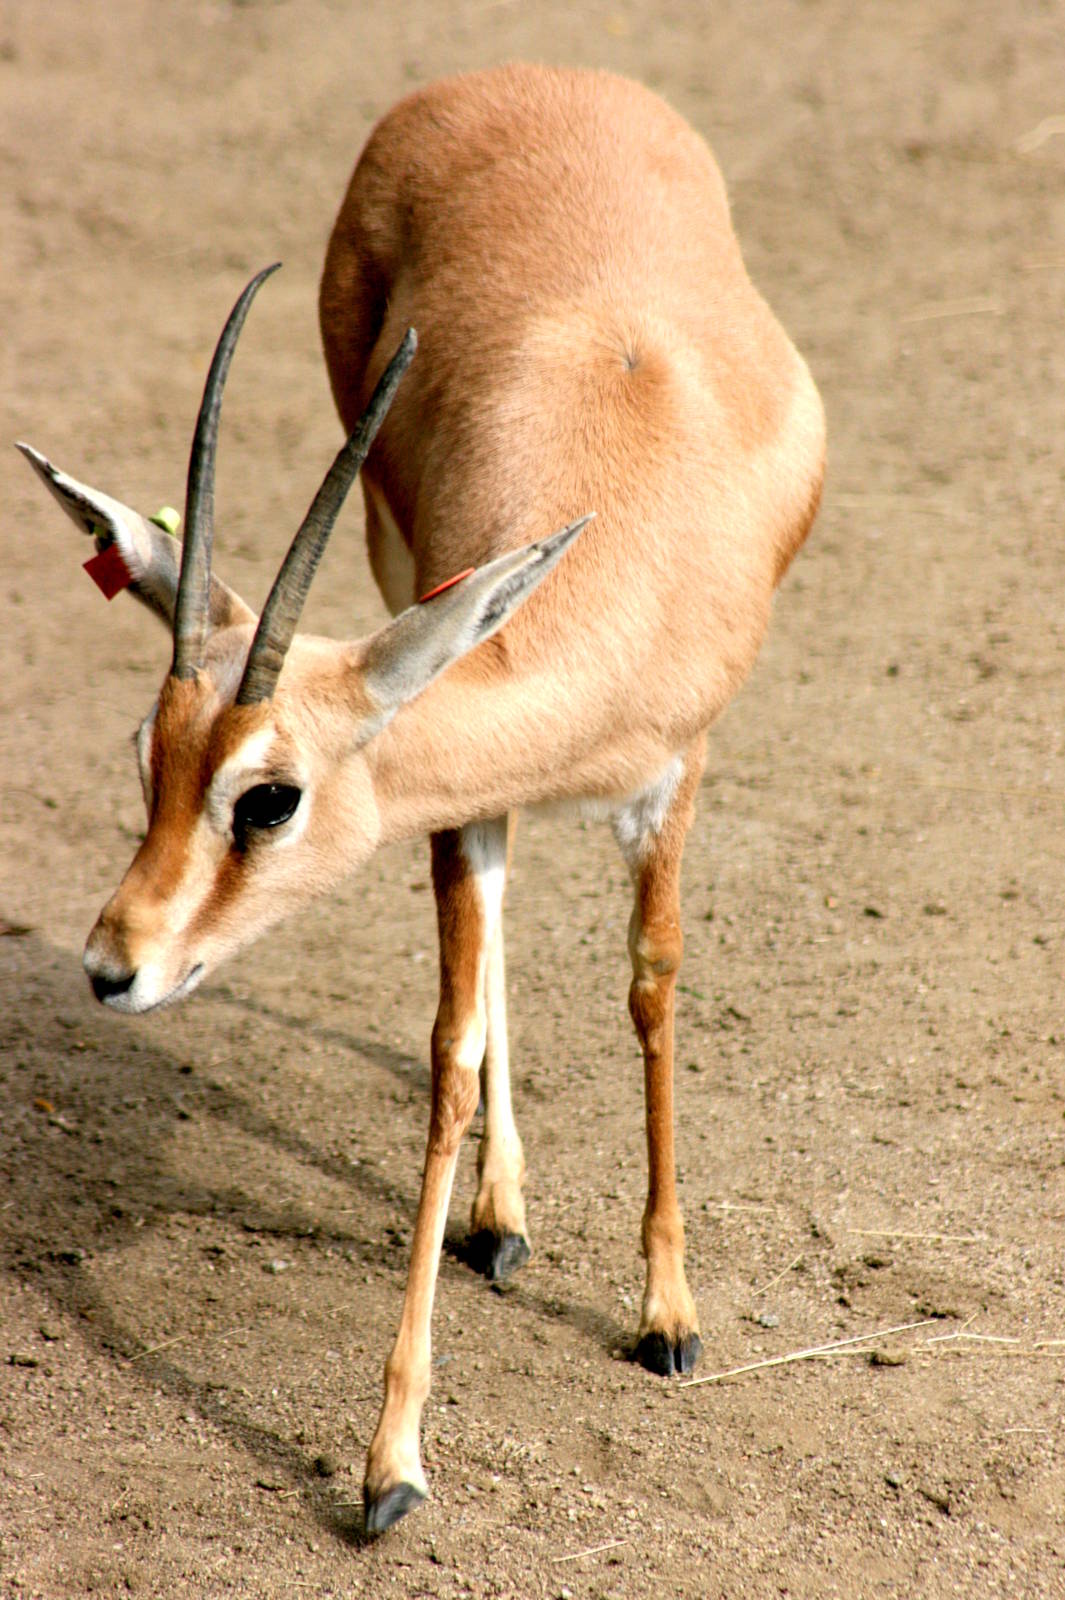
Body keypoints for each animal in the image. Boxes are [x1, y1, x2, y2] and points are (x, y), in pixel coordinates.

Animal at [19, 64, 824, 1533]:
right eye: (145, 756)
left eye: (267, 798)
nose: (112, 965)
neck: (625, 562)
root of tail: (528, 77)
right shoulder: (464, 798)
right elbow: (449, 1057)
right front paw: (393, 1458)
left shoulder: (675, 782)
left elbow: (652, 986)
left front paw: (668, 1313)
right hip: (404, 575)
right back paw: (499, 1217)